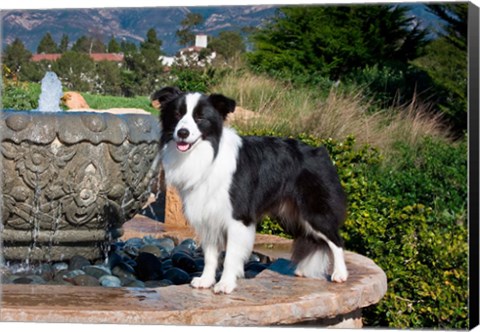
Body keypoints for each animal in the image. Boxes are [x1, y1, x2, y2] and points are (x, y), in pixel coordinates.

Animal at [158, 87, 348, 294]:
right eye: (177, 114)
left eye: (200, 117)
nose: (182, 133)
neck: (208, 154)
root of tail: (320, 152)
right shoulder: (208, 215)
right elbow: (210, 255)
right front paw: (206, 280)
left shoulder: (238, 217)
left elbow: (231, 255)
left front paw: (225, 284)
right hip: (293, 215)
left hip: (314, 211)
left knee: (336, 240)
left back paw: (340, 274)